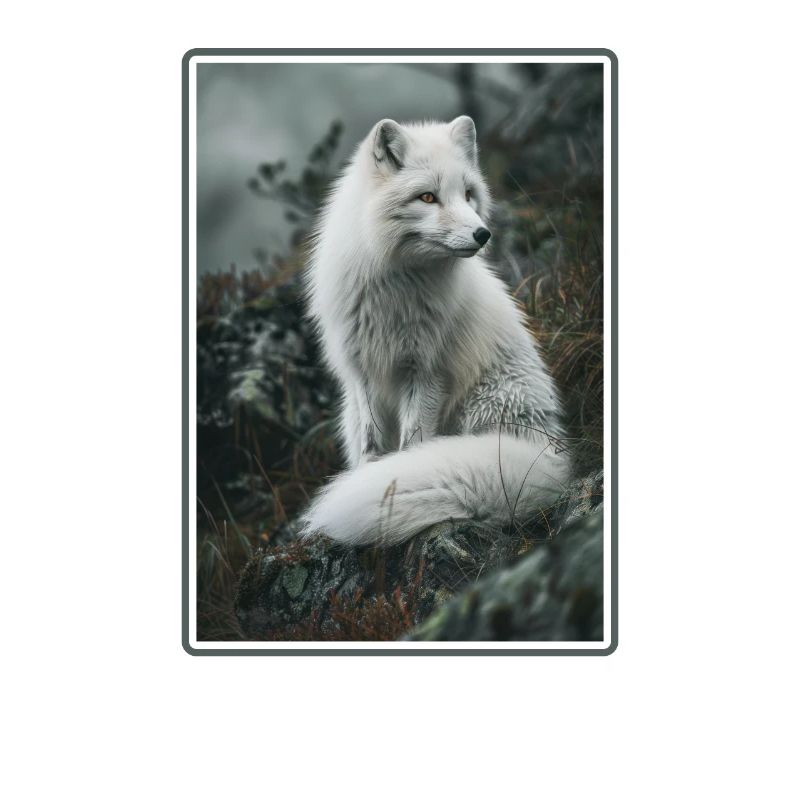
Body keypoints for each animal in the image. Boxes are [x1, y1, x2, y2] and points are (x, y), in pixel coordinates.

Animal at [301, 116, 572, 546]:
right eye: (427, 197)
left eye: (468, 194)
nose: (482, 234)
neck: (395, 289)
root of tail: (550, 455)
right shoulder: (361, 371)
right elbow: (371, 443)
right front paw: (368, 475)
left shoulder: (427, 371)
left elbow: (412, 444)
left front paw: (390, 479)